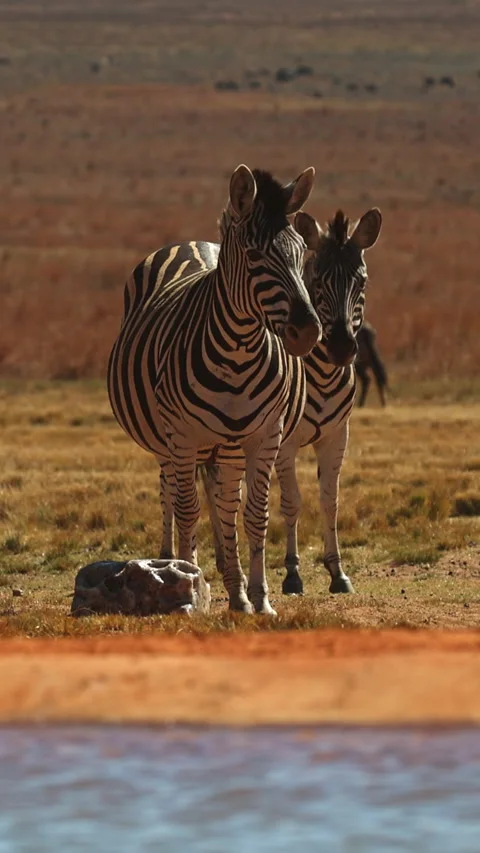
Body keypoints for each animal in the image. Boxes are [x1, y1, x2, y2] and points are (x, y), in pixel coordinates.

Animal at [107, 165, 321, 616]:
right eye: (255, 257)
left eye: (300, 254)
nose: (308, 332)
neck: (238, 350)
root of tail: (191, 243)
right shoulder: (183, 434)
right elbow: (188, 510)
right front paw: (186, 586)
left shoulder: (265, 434)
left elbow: (252, 515)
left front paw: (257, 598)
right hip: (167, 441)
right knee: (171, 495)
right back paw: (172, 560)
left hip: (227, 445)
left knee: (224, 503)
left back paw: (231, 579)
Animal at [202, 205, 382, 597]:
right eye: (318, 281)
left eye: (361, 283)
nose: (341, 347)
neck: (322, 375)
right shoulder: (285, 441)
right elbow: (292, 502)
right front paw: (292, 573)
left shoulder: (337, 436)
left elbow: (329, 500)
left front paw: (338, 572)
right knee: (213, 487)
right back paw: (224, 562)